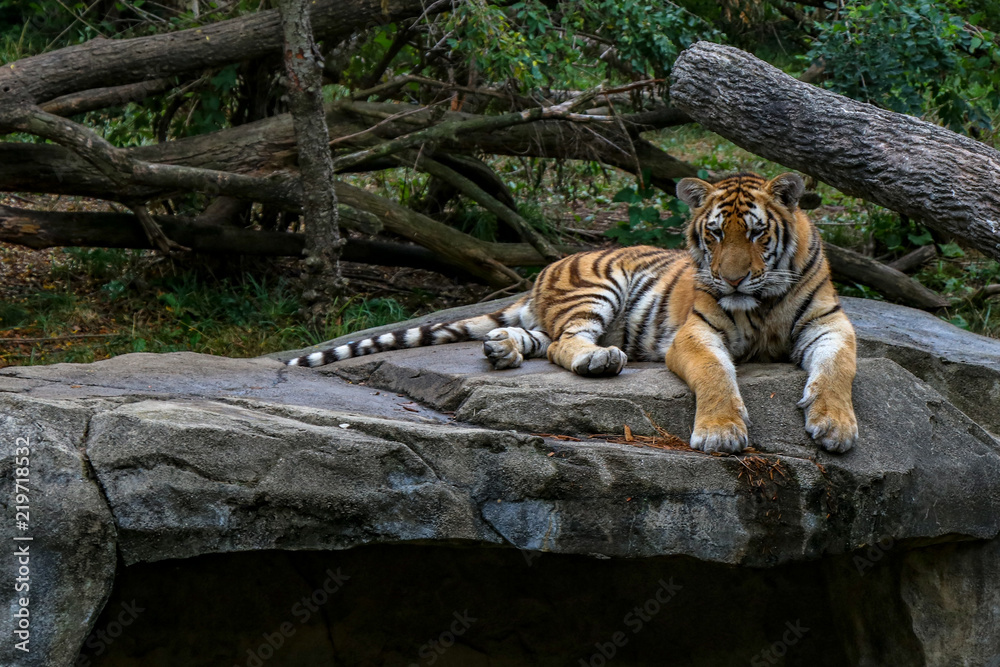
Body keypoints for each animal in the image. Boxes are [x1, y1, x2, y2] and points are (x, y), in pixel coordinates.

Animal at [290, 172, 860, 454]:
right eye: (716, 234)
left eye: (759, 233)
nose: (734, 279)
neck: (760, 302)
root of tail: (544, 270)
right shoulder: (696, 332)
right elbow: (716, 373)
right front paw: (721, 432)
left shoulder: (830, 325)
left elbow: (838, 370)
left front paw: (834, 426)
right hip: (598, 289)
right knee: (566, 343)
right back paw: (598, 360)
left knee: (542, 340)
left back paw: (501, 350)